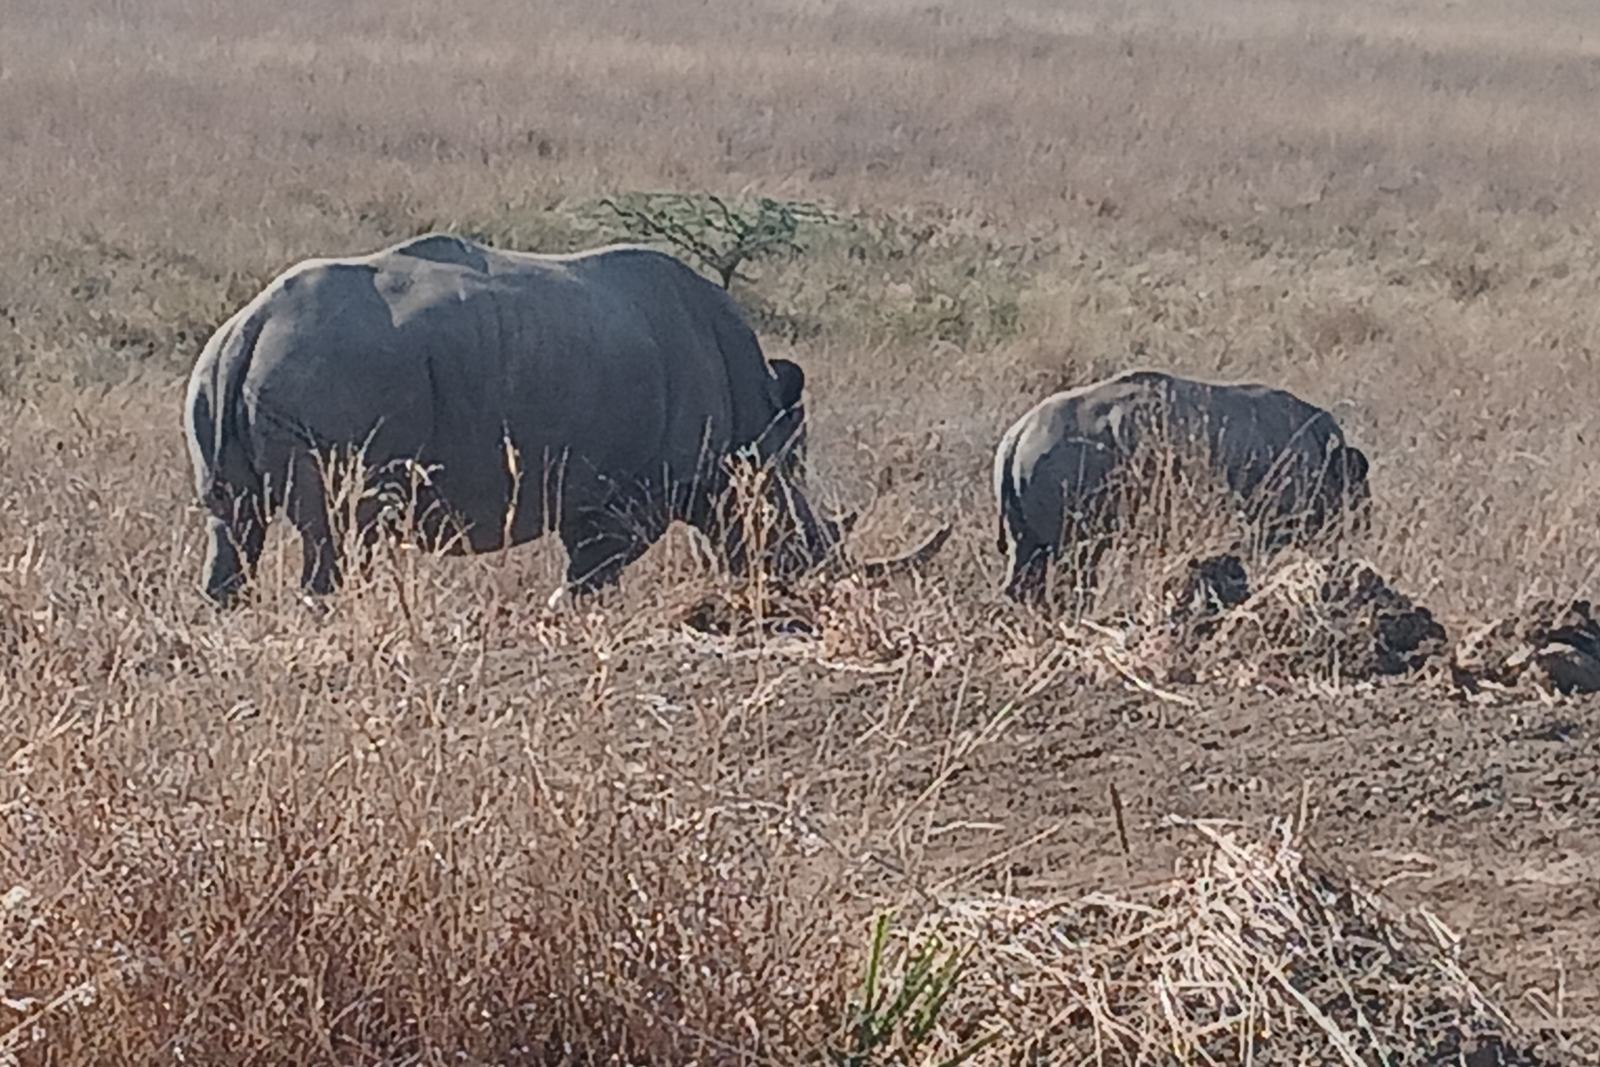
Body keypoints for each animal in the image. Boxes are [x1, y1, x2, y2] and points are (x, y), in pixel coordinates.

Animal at [185, 233, 941, 604]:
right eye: (799, 537)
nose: (807, 590)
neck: (750, 424)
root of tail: (250, 326)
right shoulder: (631, 497)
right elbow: (590, 577)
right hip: (332, 373)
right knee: (334, 536)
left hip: (218, 376)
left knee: (234, 524)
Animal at [993, 369, 1371, 604]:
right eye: (1357, 500)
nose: (1362, 532)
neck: (1328, 454)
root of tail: (1016, 437)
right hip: (1069, 498)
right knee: (1075, 569)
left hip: (1030, 511)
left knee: (1028, 568)